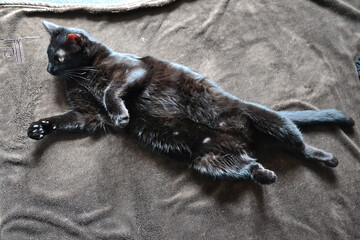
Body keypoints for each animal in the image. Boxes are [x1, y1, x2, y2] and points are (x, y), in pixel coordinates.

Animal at [28, 20, 354, 185]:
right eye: (47, 55)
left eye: (58, 58)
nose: (49, 69)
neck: (82, 76)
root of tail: (245, 140)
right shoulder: (89, 114)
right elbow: (67, 119)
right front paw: (40, 128)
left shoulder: (133, 70)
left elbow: (111, 90)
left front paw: (121, 115)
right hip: (211, 163)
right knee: (247, 166)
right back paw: (265, 175)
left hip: (270, 121)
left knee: (300, 145)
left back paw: (327, 158)